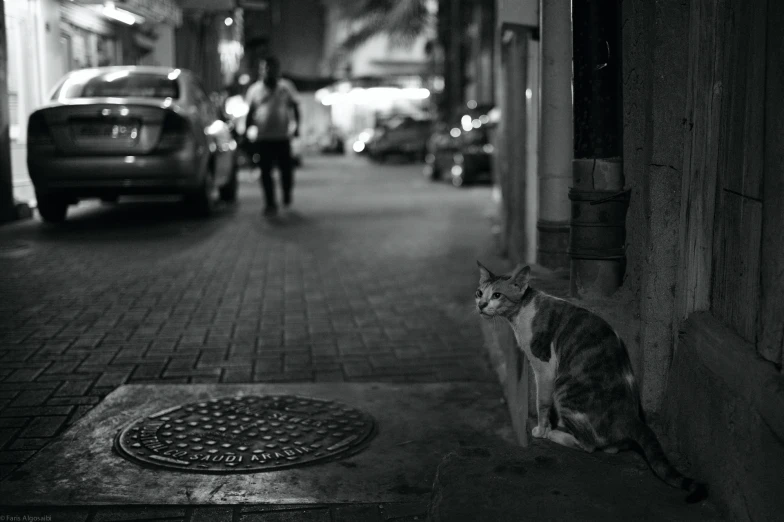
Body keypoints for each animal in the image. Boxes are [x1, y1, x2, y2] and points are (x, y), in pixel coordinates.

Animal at [474, 260, 708, 500]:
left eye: (497, 295)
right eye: (480, 292)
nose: (481, 305)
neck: (522, 310)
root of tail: (630, 417)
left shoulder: (544, 367)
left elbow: (542, 403)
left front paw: (541, 429)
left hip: (563, 388)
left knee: (588, 444)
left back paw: (555, 433)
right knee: (609, 445)